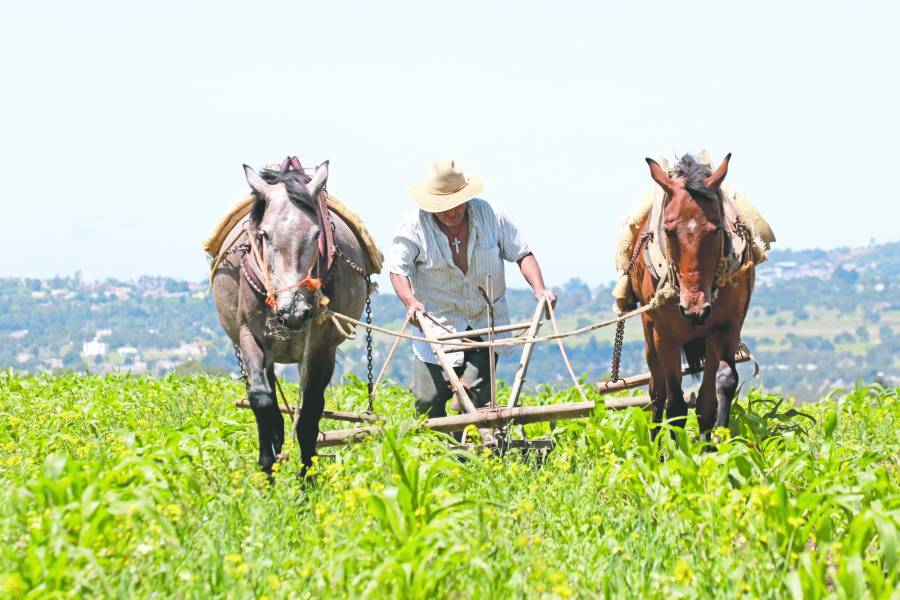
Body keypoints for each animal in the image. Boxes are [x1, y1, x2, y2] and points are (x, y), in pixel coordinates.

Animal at [213, 162, 368, 476]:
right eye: (264, 235)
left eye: (316, 234)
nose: (293, 312)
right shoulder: (249, 335)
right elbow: (261, 398)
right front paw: (267, 466)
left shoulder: (323, 348)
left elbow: (310, 412)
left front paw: (307, 479)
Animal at [628, 155, 756, 436]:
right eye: (668, 230)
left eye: (716, 229)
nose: (694, 309)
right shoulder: (665, 336)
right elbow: (675, 403)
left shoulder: (725, 327)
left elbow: (716, 392)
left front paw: (713, 442)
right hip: (649, 333)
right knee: (657, 391)